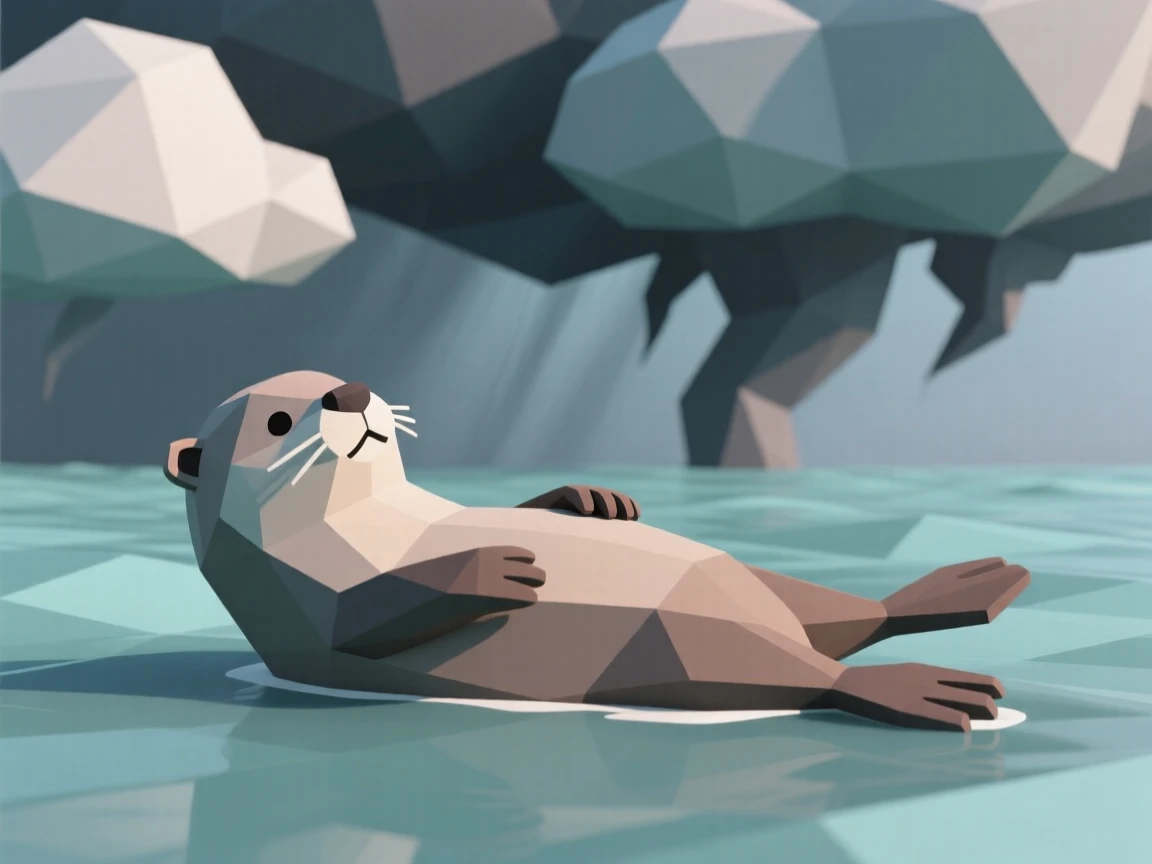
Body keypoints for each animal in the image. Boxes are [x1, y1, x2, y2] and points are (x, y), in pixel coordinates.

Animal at [164, 371, 1031, 732]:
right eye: (277, 421)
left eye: (341, 377)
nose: (348, 395)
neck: (372, 517)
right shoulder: (294, 593)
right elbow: (358, 617)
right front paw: (498, 567)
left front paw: (590, 500)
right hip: (679, 641)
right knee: (821, 673)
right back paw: (926, 687)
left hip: (751, 583)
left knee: (848, 618)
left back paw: (965, 587)